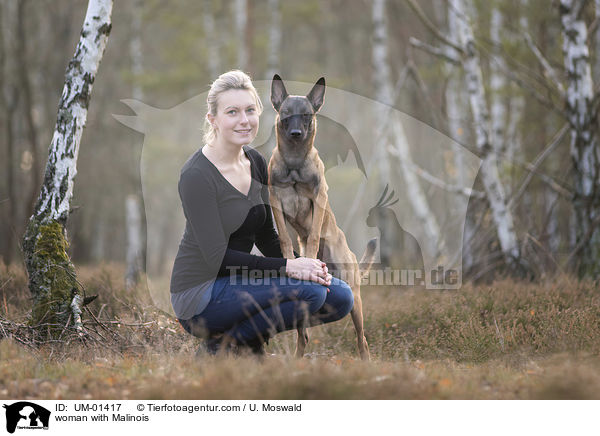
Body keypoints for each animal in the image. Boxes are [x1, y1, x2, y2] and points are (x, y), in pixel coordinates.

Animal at [268, 75, 376, 362]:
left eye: (306, 115)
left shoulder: (318, 198)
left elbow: (314, 234)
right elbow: (285, 238)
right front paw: (291, 259)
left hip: (355, 300)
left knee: (362, 340)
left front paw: (309, 257)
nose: (296, 134)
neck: (294, 163)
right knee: (303, 335)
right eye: (286, 114)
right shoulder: (275, 202)